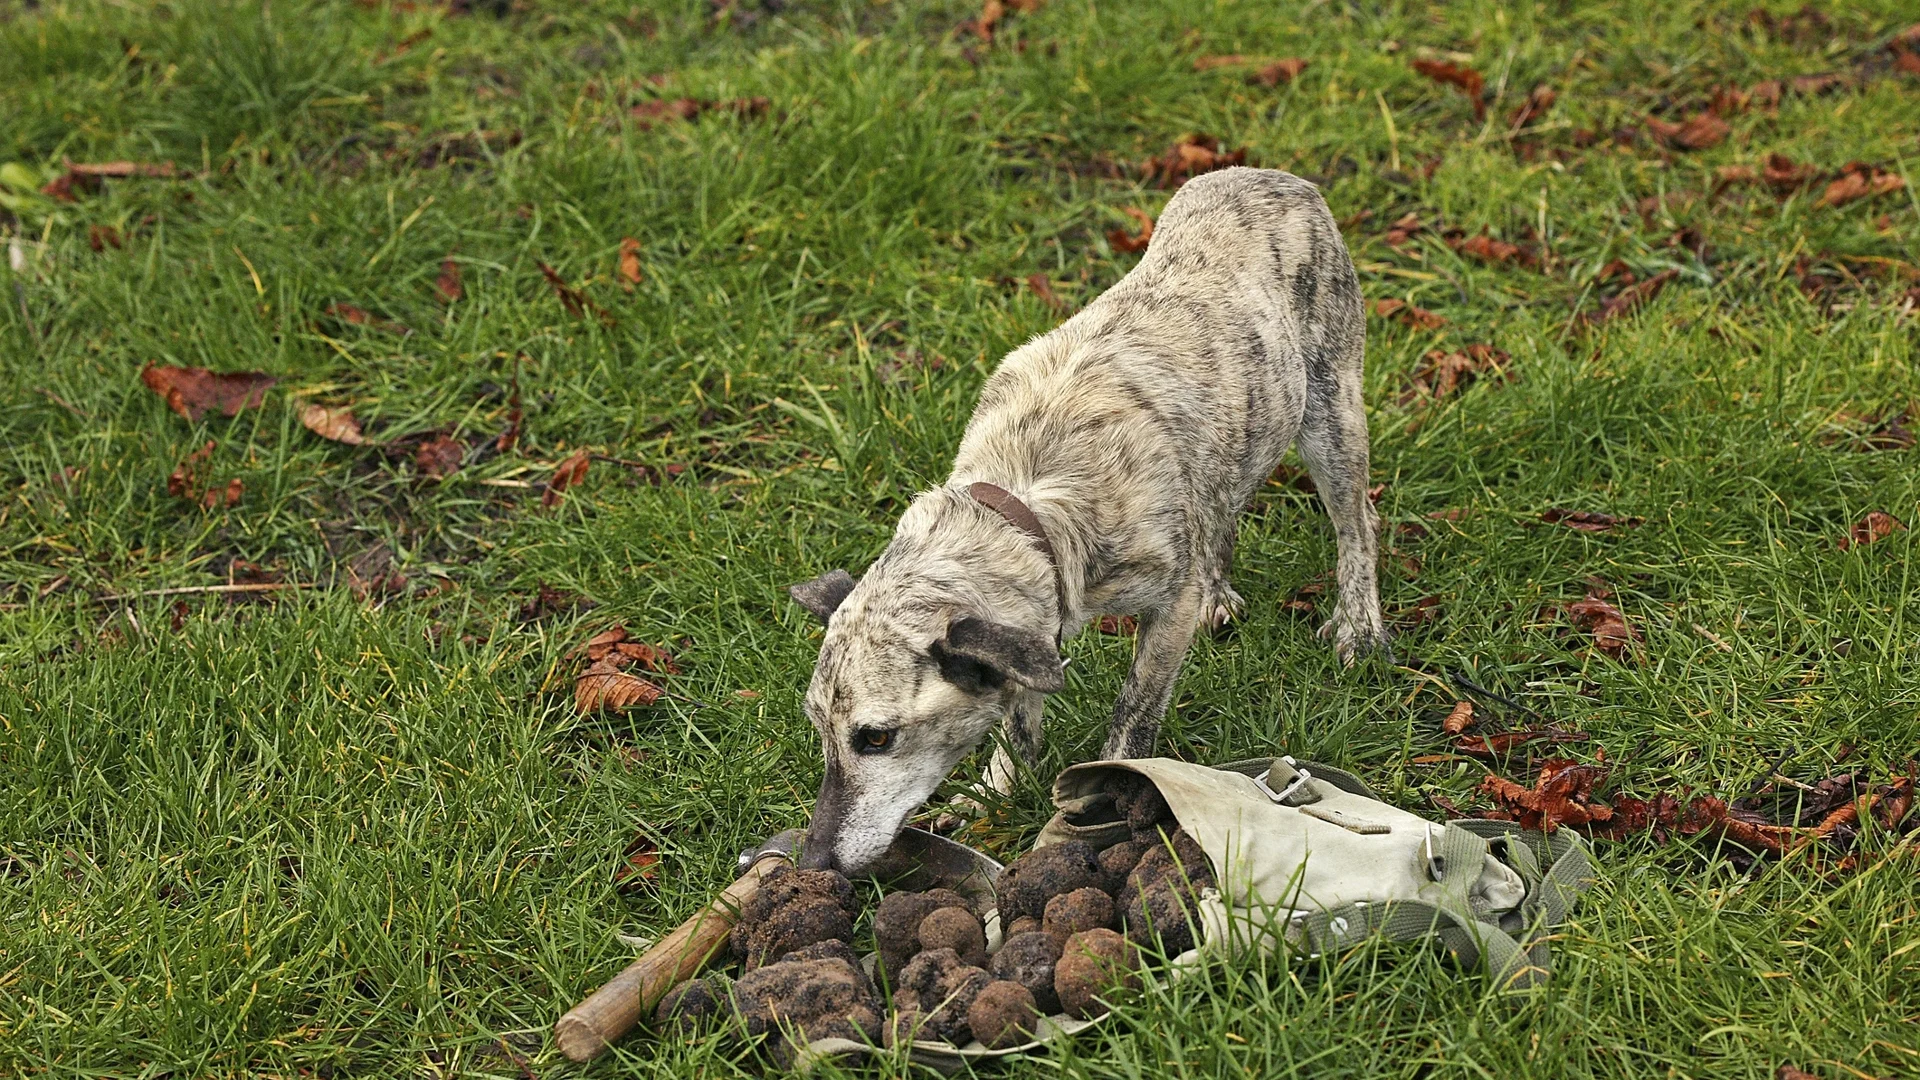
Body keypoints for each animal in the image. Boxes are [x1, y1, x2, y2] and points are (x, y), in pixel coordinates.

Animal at [779, 170, 1382, 876]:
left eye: (875, 738)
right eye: (819, 728)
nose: (813, 860)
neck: (1021, 499)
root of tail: (1272, 175)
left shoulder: (1166, 609)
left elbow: (1133, 714)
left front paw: (1109, 790)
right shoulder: (1035, 623)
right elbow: (1018, 710)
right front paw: (995, 792)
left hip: (1331, 414)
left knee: (1357, 522)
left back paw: (1360, 625)